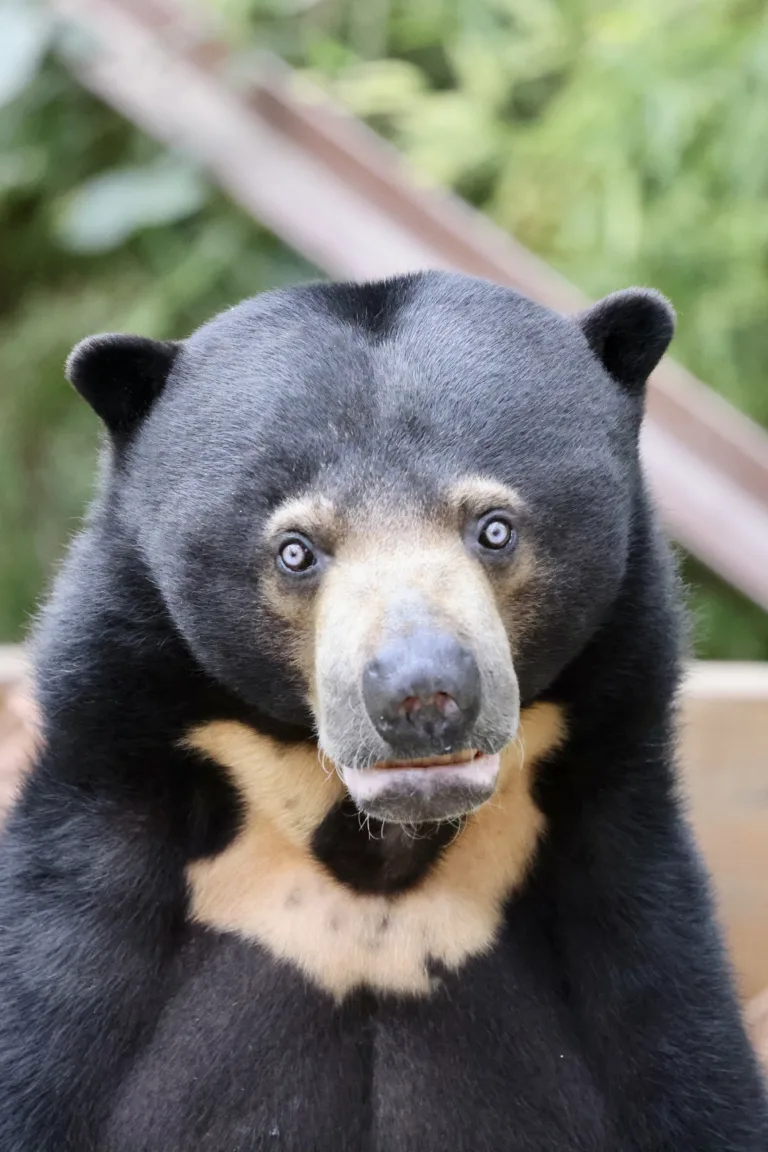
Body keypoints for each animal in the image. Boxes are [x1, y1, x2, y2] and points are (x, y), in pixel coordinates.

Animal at [0, 269, 765, 1152]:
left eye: (494, 529)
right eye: (296, 549)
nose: (424, 693)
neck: (380, 858)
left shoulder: (624, 896)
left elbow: (680, 1061)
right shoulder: (96, 884)